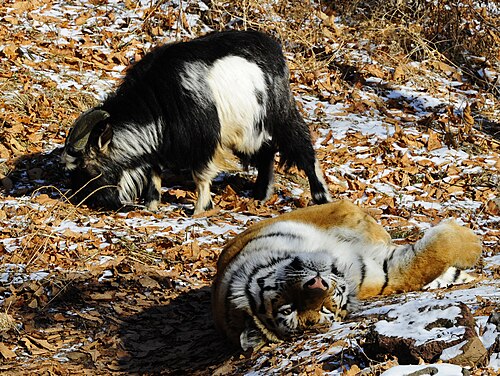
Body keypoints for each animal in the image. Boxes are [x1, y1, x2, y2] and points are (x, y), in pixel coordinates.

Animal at [61, 30, 332, 213]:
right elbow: (154, 174)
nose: (83, 200)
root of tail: (275, 48)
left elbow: (201, 175)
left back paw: (321, 196)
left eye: (89, 168)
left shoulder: (204, 140)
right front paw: (151, 205)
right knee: (266, 150)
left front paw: (201, 209)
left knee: (302, 146)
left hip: (279, 113)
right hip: (246, 130)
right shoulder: (160, 144)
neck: (158, 99)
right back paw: (260, 195)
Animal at [212, 201, 484, 352]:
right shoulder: (382, 273)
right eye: (289, 310)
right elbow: (424, 262)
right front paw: (472, 244)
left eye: (323, 308)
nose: (318, 282)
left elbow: (346, 212)